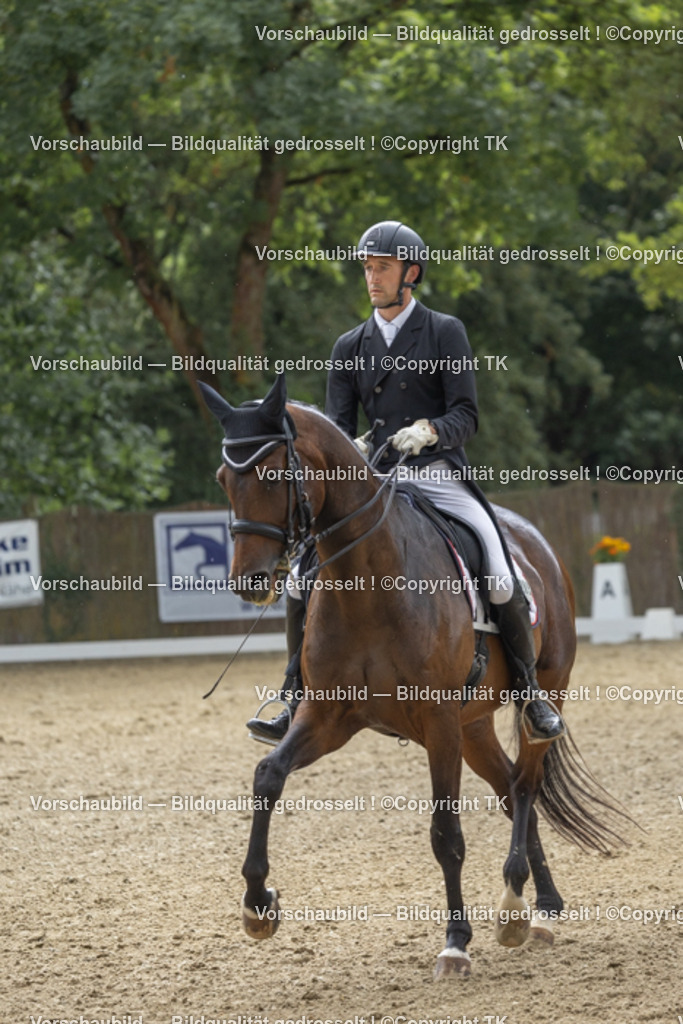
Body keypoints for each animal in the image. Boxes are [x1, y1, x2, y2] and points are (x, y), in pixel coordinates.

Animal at [199, 373, 626, 979]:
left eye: (276, 473)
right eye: (223, 479)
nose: (251, 581)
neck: (367, 579)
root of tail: (534, 540)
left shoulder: (437, 721)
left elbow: (445, 833)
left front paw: (455, 943)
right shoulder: (328, 717)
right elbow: (267, 777)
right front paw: (259, 905)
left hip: (542, 694)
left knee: (526, 783)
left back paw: (518, 907)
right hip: (474, 726)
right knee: (508, 787)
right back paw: (538, 906)